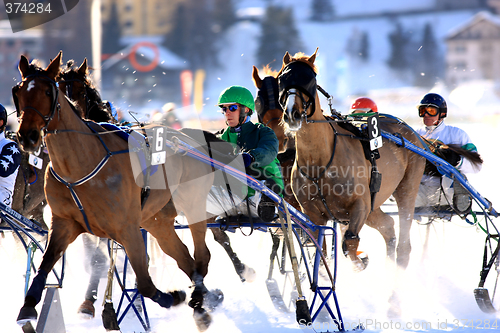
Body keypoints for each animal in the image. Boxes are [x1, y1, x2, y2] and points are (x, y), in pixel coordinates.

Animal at [15, 51, 215, 326]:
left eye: (47, 91)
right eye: (19, 91)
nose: (28, 136)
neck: (79, 166)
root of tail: (186, 137)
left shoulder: (127, 228)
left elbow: (144, 283)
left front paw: (170, 297)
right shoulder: (64, 222)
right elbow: (45, 266)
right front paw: (28, 305)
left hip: (192, 205)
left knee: (201, 256)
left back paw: (200, 300)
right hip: (156, 219)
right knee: (184, 256)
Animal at [276, 50, 424, 272]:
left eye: (309, 79)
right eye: (282, 79)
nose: (292, 114)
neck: (319, 161)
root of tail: (410, 131)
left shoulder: (359, 205)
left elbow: (350, 243)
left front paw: (361, 261)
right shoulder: (312, 213)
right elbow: (320, 250)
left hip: (407, 186)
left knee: (404, 241)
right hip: (375, 204)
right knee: (388, 226)